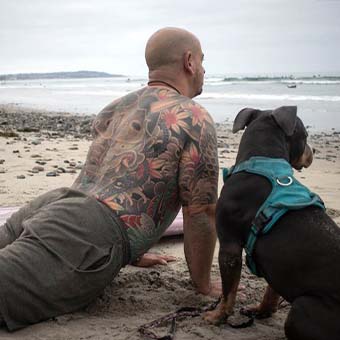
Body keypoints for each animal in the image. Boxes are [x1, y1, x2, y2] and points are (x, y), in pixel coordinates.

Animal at [203, 106, 340, 340]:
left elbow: (228, 292)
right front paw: (262, 310)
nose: (313, 150)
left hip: (300, 310)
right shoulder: (279, 267)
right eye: (306, 136)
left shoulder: (229, 247)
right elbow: (271, 290)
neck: (264, 163)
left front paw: (217, 317)